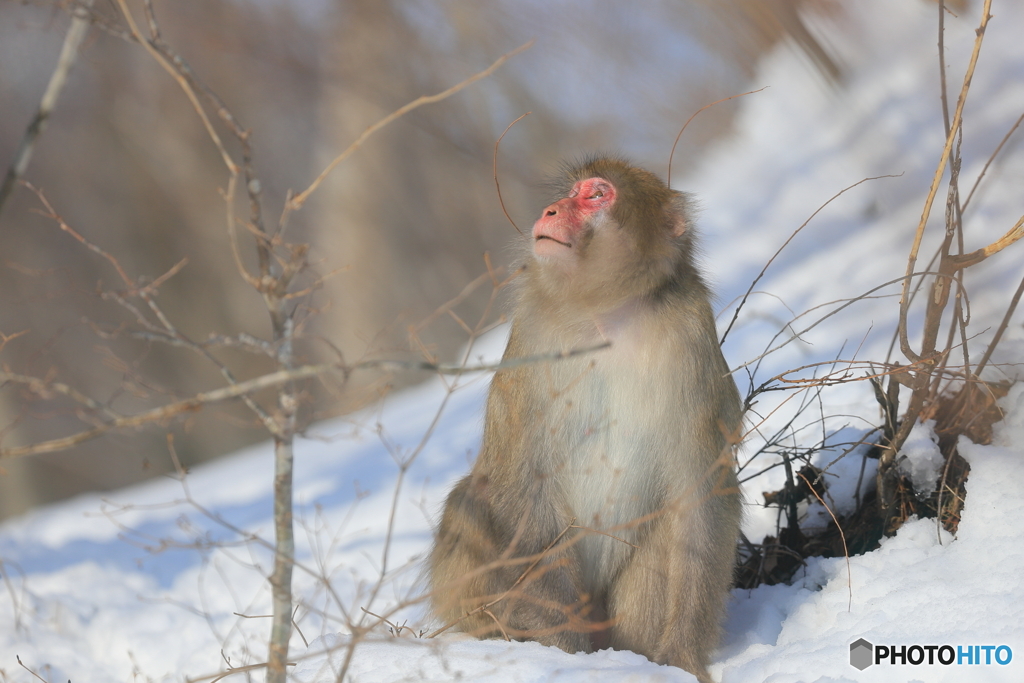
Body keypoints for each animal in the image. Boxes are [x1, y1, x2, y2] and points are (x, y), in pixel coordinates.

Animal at [428, 156, 741, 683]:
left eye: (596, 195)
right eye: (570, 193)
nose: (551, 209)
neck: (605, 314)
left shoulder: (691, 337)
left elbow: (699, 494)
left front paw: (682, 656)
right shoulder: (532, 338)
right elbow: (522, 487)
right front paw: (563, 653)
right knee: (470, 502)